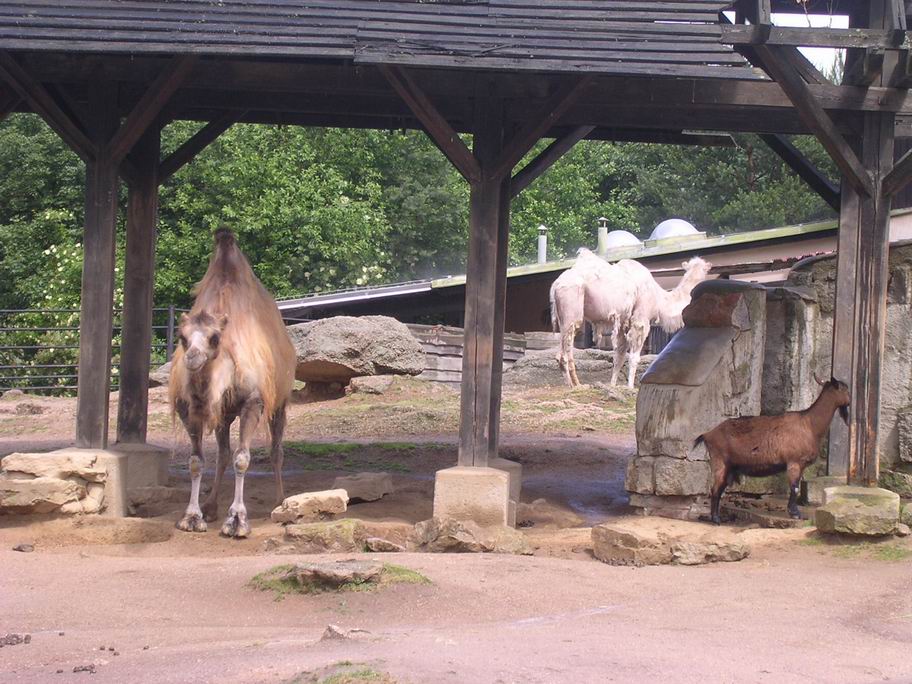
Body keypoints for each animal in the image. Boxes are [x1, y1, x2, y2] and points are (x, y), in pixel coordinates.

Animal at [548, 250, 712, 390]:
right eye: (706, 270)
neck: (660, 299)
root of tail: (556, 285)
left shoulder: (623, 323)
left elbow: (619, 356)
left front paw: (613, 385)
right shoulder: (641, 319)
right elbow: (634, 357)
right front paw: (631, 387)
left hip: (563, 315)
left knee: (562, 347)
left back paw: (574, 384)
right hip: (572, 303)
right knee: (565, 349)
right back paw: (575, 385)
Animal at [696, 376, 852, 528]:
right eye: (846, 389)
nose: (850, 401)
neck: (809, 424)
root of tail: (707, 435)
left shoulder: (800, 465)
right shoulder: (794, 462)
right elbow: (795, 488)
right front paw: (795, 513)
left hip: (728, 467)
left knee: (718, 488)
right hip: (720, 462)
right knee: (715, 490)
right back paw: (716, 519)